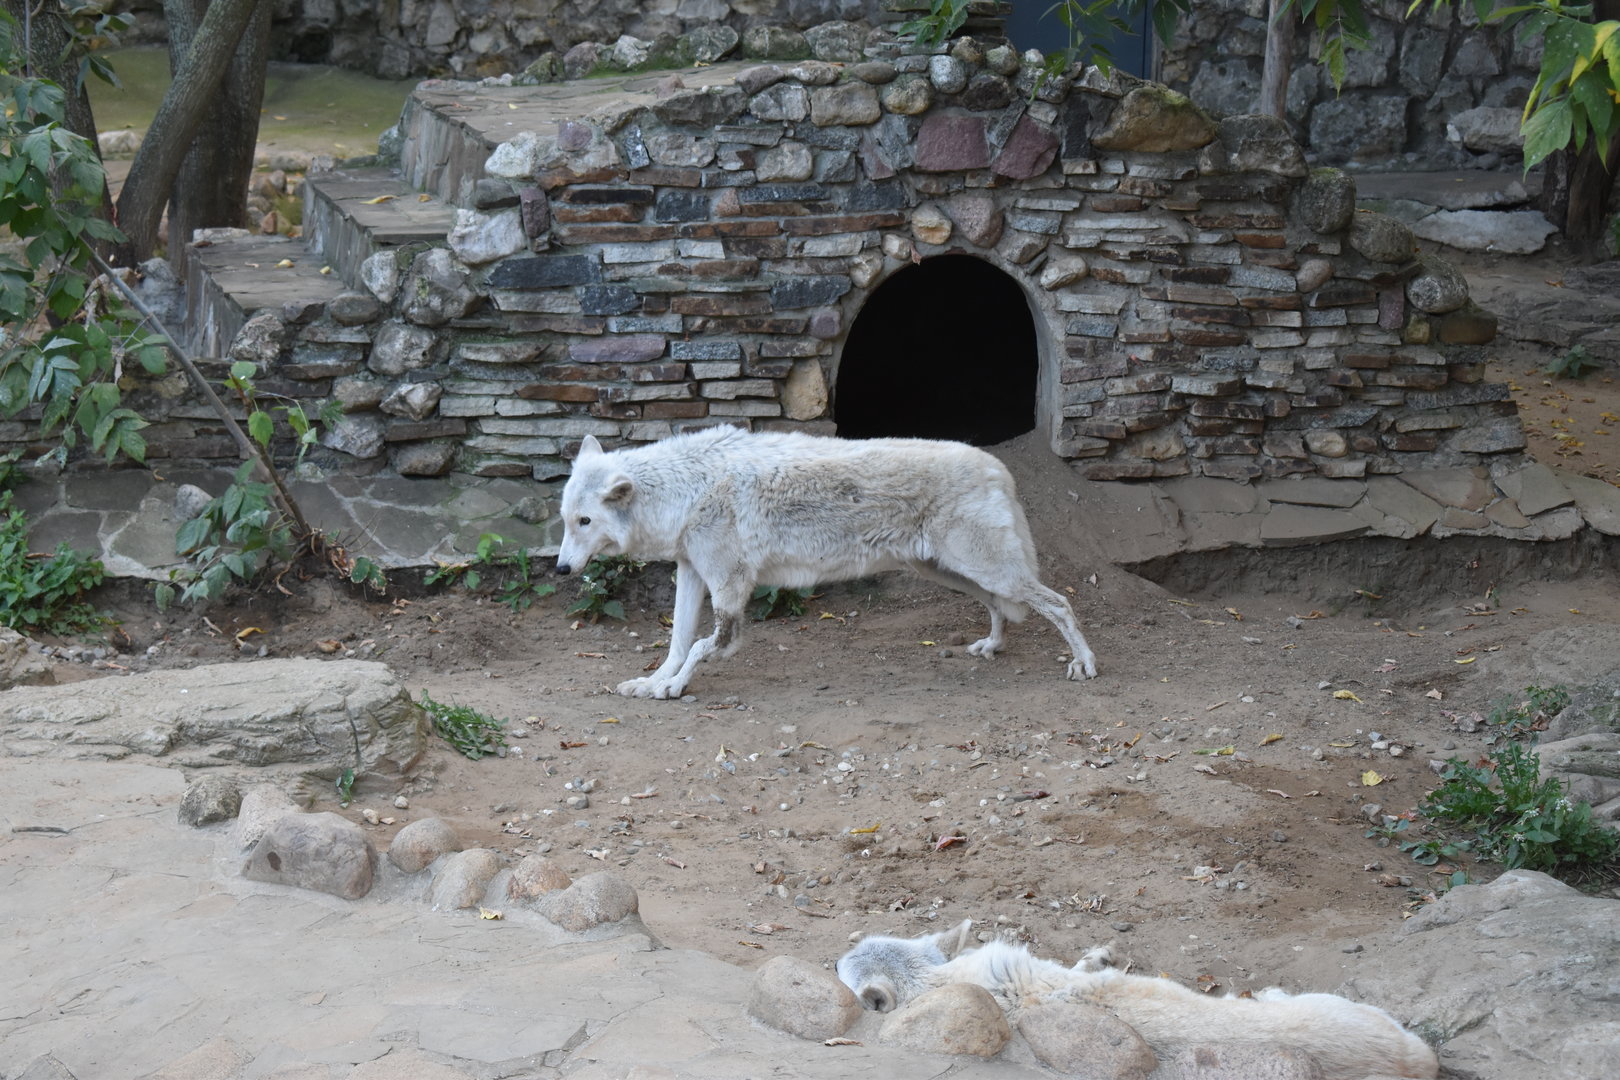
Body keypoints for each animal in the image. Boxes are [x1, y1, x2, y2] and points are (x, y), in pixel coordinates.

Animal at [554, 427, 1098, 700]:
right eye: (565, 520)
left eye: (584, 521)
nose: (560, 569)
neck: (686, 491)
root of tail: (998, 467)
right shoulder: (691, 573)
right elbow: (676, 643)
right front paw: (650, 682)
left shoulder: (730, 589)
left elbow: (707, 646)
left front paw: (672, 687)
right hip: (958, 574)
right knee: (1002, 607)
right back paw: (993, 646)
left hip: (987, 570)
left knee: (1059, 604)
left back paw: (1084, 663)